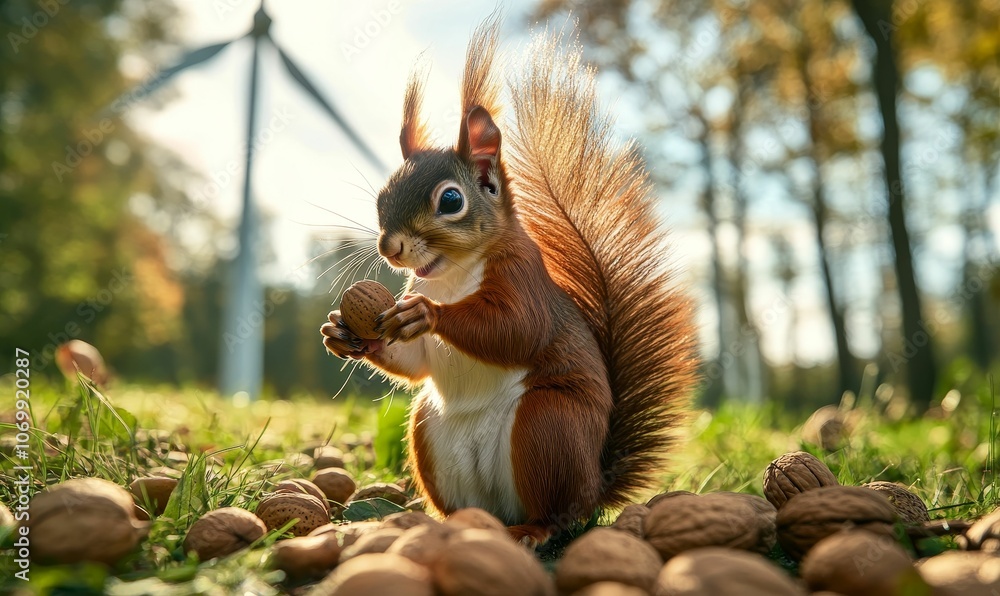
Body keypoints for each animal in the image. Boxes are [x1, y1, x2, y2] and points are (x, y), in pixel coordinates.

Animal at [320, 16, 698, 546]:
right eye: (382, 195)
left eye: (451, 200)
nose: (388, 247)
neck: (452, 277)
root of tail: (594, 488)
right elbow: (415, 363)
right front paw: (342, 332)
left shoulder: (523, 279)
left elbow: (516, 330)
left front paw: (428, 315)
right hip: (427, 431)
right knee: (471, 504)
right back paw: (445, 522)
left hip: (549, 427)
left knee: (556, 513)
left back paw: (532, 530)